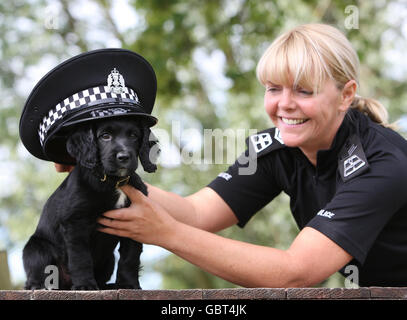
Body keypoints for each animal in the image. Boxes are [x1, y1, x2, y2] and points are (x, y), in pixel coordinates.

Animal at [21, 117, 159, 290]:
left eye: (134, 135)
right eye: (105, 136)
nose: (124, 157)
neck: (113, 182)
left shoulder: (134, 223)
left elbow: (130, 257)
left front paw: (128, 284)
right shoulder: (75, 222)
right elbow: (81, 258)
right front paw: (84, 285)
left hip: (109, 260)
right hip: (37, 249)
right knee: (36, 273)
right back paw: (39, 286)